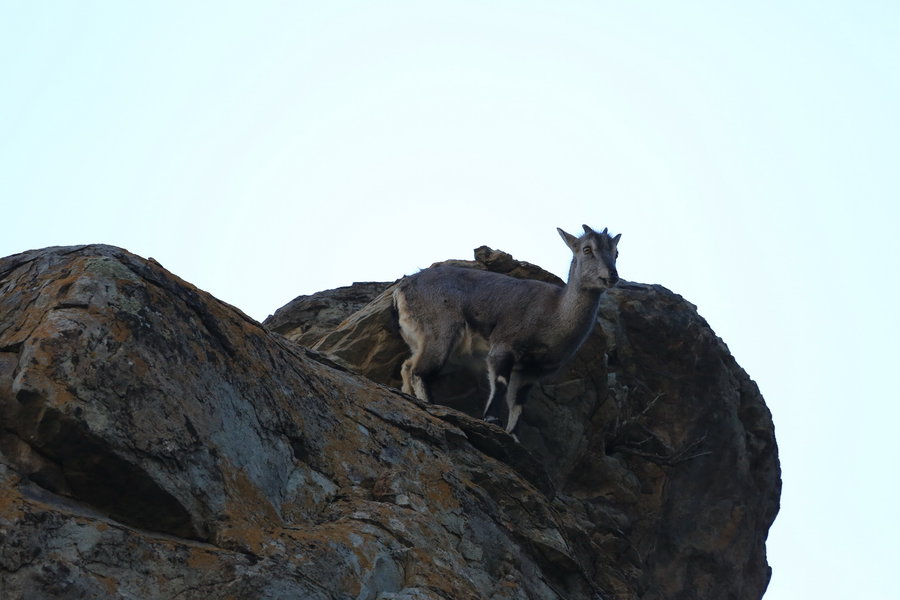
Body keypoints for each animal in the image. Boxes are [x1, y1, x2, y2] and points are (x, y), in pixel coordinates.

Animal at [394, 225, 620, 436]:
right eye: (587, 249)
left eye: (616, 252)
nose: (612, 275)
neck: (555, 313)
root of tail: (403, 288)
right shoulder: (504, 346)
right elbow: (501, 382)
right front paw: (492, 419)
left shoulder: (530, 371)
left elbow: (518, 405)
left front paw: (514, 436)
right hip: (441, 331)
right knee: (419, 371)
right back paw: (431, 405)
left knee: (408, 365)